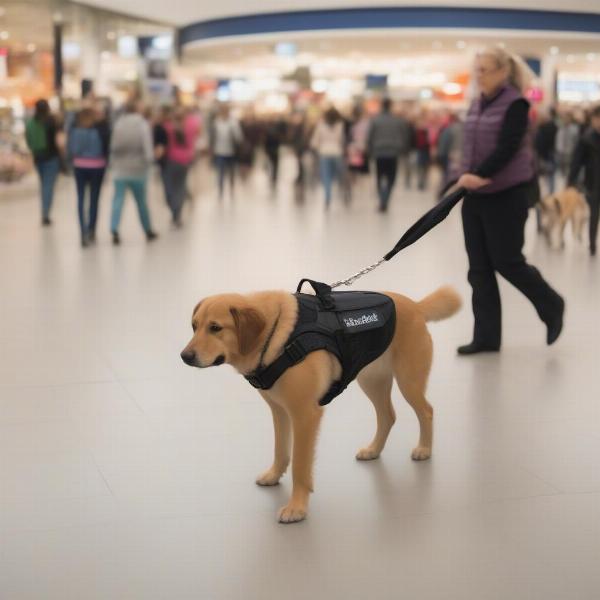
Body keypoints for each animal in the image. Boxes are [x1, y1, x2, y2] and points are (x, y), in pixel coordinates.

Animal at [180, 288, 462, 524]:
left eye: (215, 328)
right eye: (194, 327)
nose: (184, 356)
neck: (276, 335)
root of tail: (415, 305)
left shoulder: (305, 414)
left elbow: (299, 465)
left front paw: (297, 508)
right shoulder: (280, 411)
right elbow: (280, 451)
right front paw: (273, 476)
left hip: (408, 381)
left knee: (426, 411)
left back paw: (424, 449)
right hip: (372, 381)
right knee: (388, 415)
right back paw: (373, 450)